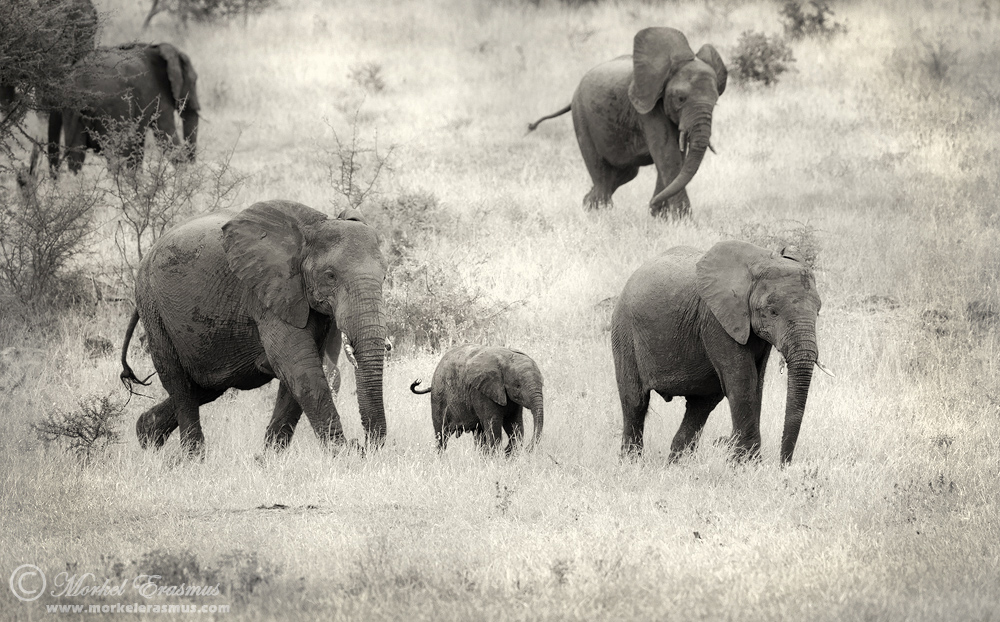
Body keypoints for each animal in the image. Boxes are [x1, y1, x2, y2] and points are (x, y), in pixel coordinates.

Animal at [53, 41, 200, 173]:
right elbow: (167, 135)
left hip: (70, 106)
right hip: (113, 105)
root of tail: (83, 82)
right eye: (194, 81)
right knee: (115, 153)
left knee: (77, 153)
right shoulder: (159, 96)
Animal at [119, 200, 388, 455]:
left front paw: (271, 458)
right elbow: (300, 367)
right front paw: (342, 455)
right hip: (153, 308)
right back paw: (191, 458)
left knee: (206, 386)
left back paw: (147, 434)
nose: (363, 445)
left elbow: (301, 371)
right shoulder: (265, 293)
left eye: (384, 276)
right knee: (180, 384)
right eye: (330, 275)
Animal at [410, 344, 544, 455]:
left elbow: (514, 424)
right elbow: (494, 425)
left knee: (479, 433)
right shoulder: (481, 392)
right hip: (439, 396)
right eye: (518, 386)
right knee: (441, 435)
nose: (528, 449)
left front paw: (509, 455)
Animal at [527, 27, 726, 218]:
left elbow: (676, 155)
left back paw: (588, 206)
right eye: (680, 99)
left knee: (624, 173)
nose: (652, 204)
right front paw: (681, 221)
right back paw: (602, 214)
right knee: (601, 172)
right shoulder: (648, 108)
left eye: (715, 102)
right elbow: (667, 153)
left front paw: (660, 217)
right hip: (581, 117)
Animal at [611, 241, 827, 464]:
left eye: (818, 311)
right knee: (635, 401)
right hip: (624, 331)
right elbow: (743, 380)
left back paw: (677, 465)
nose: (783, 465)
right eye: (772, 311)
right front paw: (745, 464)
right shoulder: (717, 319)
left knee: (701, 405)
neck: (759, 261)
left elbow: (756, 383)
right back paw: (631, 463)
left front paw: (747, 463)